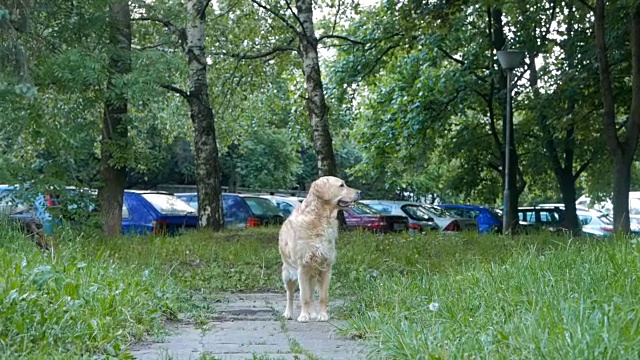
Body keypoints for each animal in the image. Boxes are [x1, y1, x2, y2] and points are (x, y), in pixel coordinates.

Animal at [278, 176, 362, 322]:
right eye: (341, 185)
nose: (360, 192)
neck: (320, 218)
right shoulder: (303, 268)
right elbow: (303, 297)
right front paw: (303, 316)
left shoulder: (326, 267)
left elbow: (323, 296)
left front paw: (322, 315)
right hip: (288, 274)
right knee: (290, 295)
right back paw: (288, 313)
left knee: (311, 294)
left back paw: (312, 313)